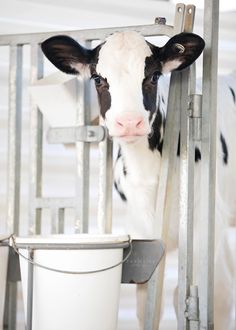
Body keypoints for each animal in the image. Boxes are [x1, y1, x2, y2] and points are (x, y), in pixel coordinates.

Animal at [41, 30, 235, 328]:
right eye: (98, 79)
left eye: (154, 76)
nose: (129, 122)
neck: (149, 172)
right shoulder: (145, 235)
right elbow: (149, 305)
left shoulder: (206, 224)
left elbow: (196, 298)